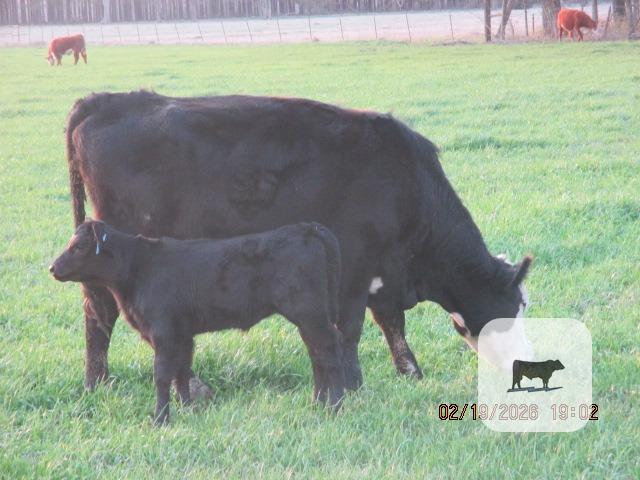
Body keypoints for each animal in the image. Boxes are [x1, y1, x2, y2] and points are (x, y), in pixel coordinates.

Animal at [50, 220, 346, 424]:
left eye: (78, 246)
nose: (52, 268)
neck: (139, 268)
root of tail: (305, 228)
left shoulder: (164, 332)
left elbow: (162, 375)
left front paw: (160, 419)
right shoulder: (182, 334)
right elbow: (181, 372)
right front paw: (187, 409)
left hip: (310, 313)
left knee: (329, 352)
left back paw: (335, 406)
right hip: (310, 317)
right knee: (317, 354)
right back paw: (318, 402)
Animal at [65, 91, 532, 398]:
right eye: (515, 308)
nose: (520, 364)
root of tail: (108, 100)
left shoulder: (381, 274)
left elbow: (391, 324)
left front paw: (409, 373)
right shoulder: (355, 266)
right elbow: (352, 328)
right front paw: (353, 383)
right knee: (102, 312)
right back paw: (118, 383)